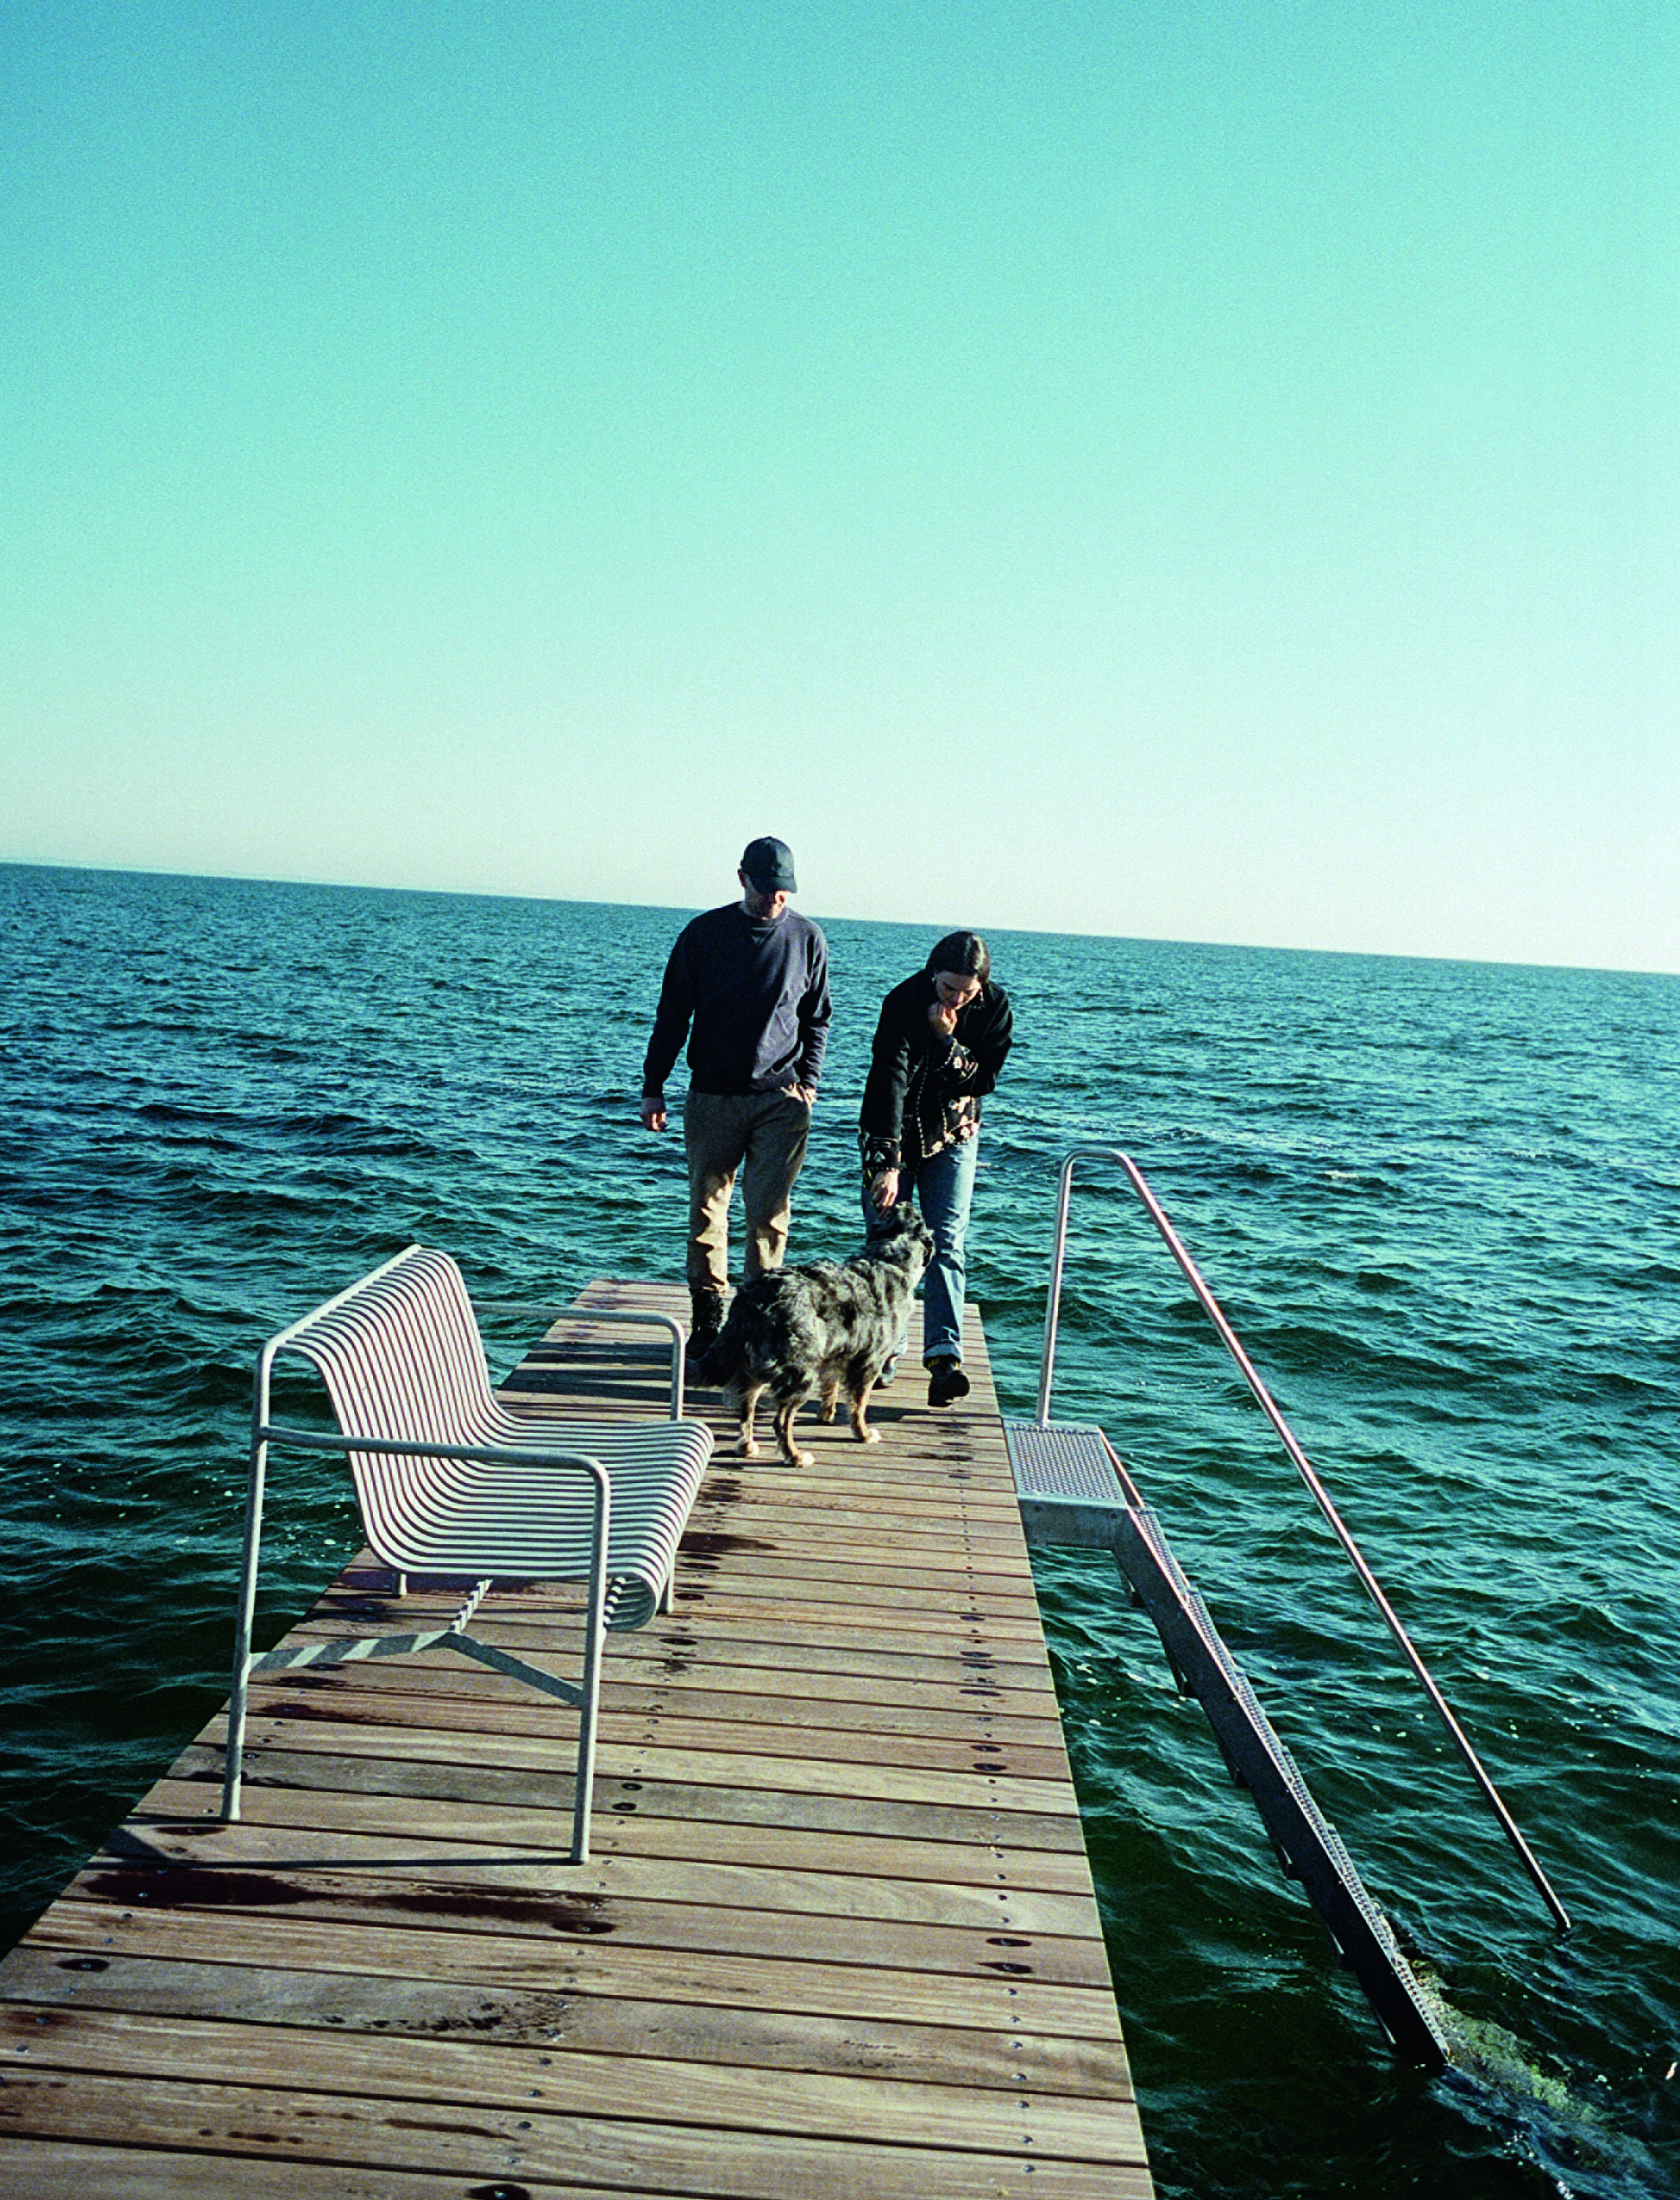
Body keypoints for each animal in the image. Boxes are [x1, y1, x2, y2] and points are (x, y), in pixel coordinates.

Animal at [690, 1214, 932, 1470]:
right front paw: (863, 1433)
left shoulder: (836, 1353)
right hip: (800, 1373)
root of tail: (755, 1295)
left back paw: (747, 1446)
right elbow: (859, 1404)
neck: (888, 1259)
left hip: (755, 1366)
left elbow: (830, 1387)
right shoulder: (869, 1361)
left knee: (747, 1407)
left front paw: (826, 1414)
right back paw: (794, 1456)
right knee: (781, 1421)